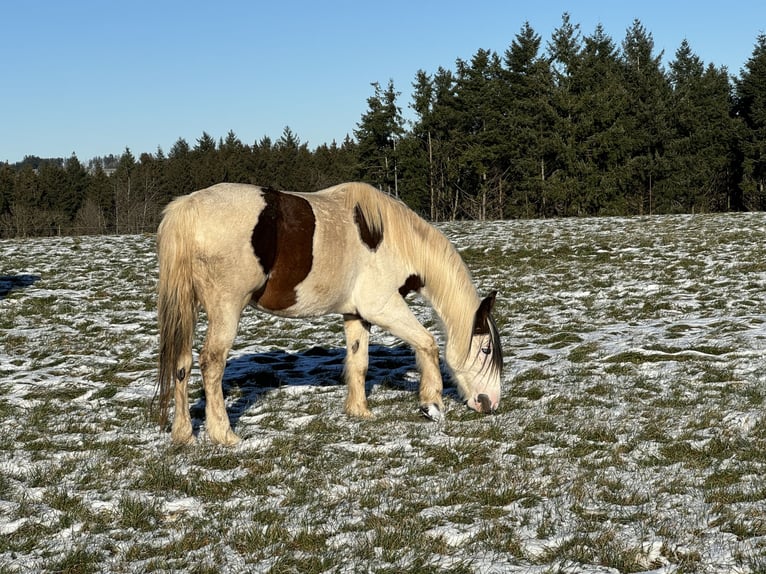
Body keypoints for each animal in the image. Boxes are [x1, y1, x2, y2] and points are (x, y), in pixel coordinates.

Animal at [156, 182, 504, 448]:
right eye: (486, 350)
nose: (490, 403)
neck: (390, 238)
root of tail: (188, 208)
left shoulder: (356, 315)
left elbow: (359, 362)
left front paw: (359, 411)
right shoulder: (384, 308)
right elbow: (428, 343)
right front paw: (431, 405)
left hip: (189, 308)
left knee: (182, 363)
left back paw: (184, 435)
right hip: (226, 308)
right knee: (211, 363)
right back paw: (224, 434)